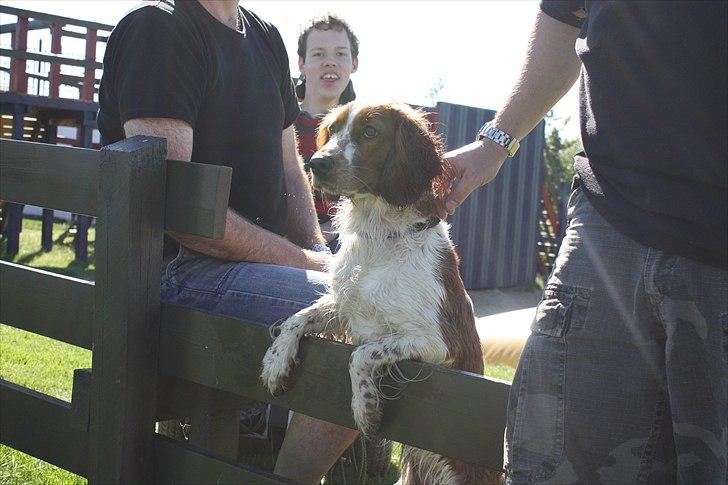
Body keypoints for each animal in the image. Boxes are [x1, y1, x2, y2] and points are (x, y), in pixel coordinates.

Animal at [260, 100, 494, 482]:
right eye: (333, 130)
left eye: (371, 132)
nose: (316, 163)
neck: (380, 236)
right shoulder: (344, 303)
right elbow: (296, 319)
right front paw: (276, 363)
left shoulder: (438, 343)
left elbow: (361, 354)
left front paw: (365, 407)